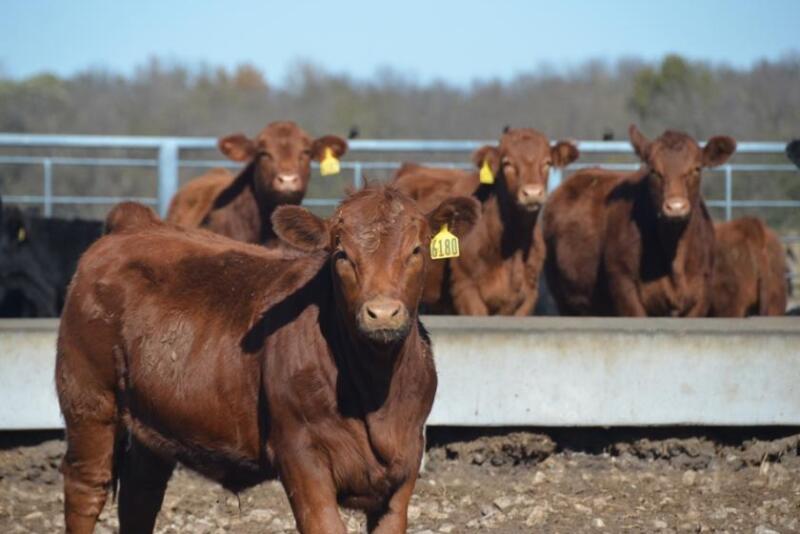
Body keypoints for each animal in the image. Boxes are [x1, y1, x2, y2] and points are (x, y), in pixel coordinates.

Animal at [56, 188, 479, 534]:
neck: (376, 396)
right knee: (87, 487)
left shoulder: (405, 463)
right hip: (89, 399)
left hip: (151, 421)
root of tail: (134, 224)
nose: (383, 313)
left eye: (416, 250)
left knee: (141, 497)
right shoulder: (301, 456)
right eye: (341, 254)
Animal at [393, 128, 578, 315]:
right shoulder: (465, 289)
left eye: (547, 162)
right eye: (507, 163)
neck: (511, 247)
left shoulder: (528, 297)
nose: (532, 193)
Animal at [543, 125, 736, 316]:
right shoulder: (624, 286)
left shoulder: (702, 294)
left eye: (696, 168)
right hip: (566, 299)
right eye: (653, 170)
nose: (675, 207)